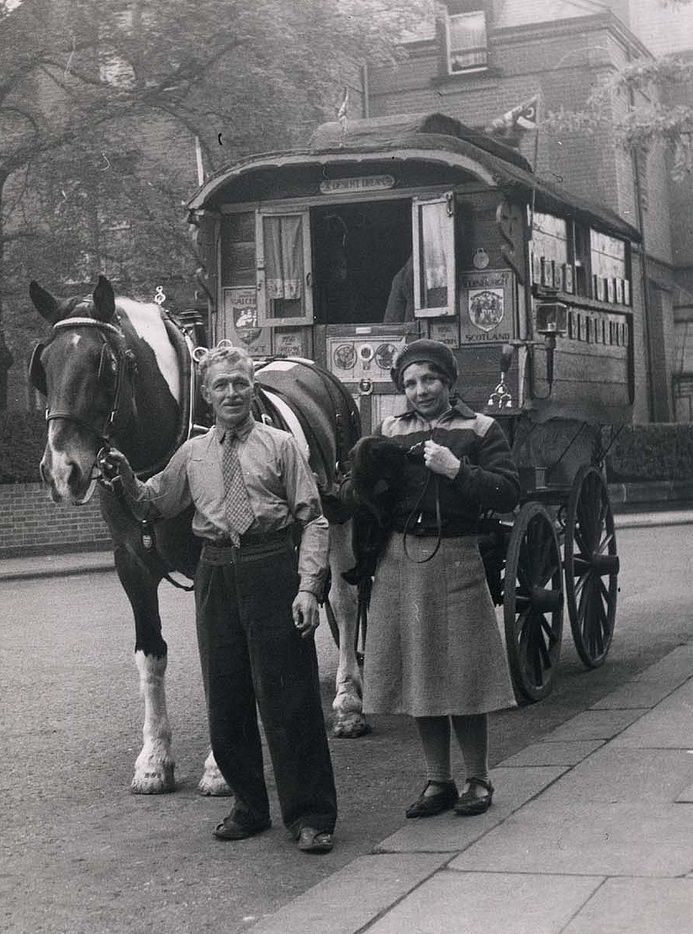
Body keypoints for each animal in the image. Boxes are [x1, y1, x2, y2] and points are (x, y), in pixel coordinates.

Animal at [27, 274, 364, 792]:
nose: (62, 471)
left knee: (345, 602)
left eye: (105, 366)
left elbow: (220, 653)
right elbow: (151, 655)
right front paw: (153, 760)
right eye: (43, 365)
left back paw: (348, 703)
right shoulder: (132, 567)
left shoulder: (212, 562)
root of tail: (312, 371)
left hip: (338, 520)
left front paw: (220, 768)